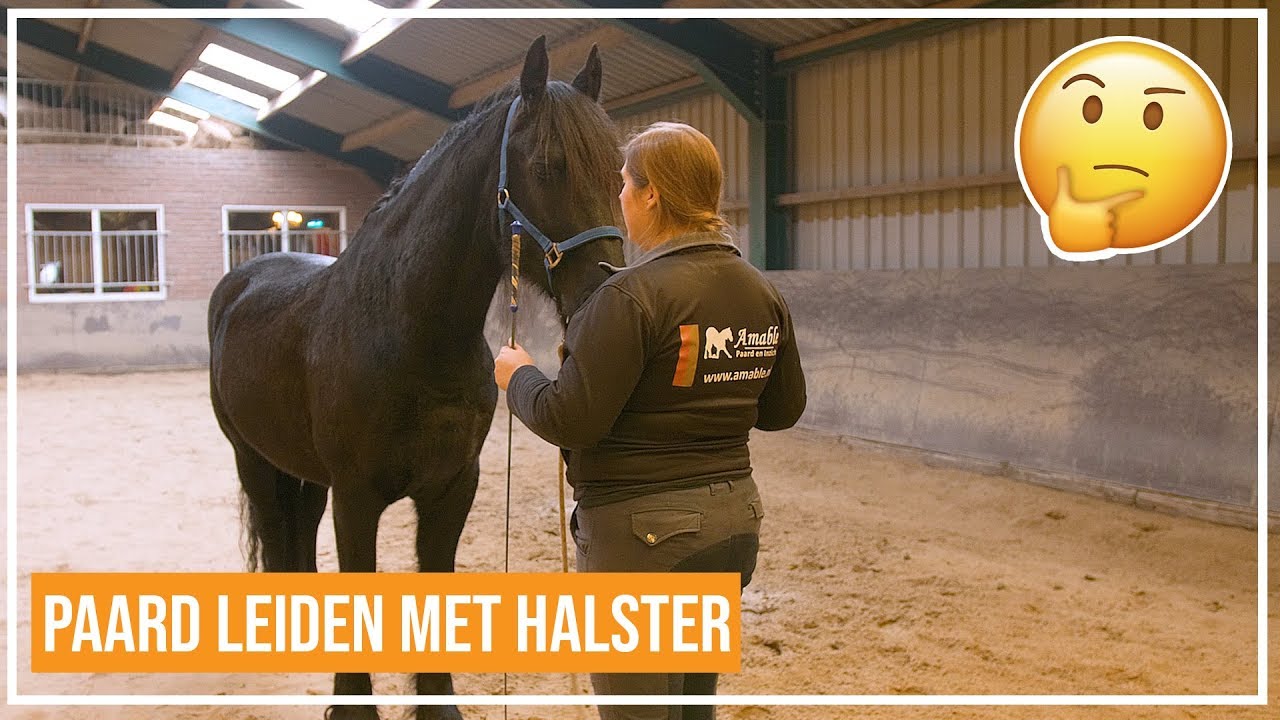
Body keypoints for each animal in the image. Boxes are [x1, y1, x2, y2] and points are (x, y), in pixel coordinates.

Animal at [206, 37, 625, 720]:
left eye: (618, 170)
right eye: (548, 165)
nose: (604, 290)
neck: (411, 338)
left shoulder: (452, 488)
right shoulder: (356, 497)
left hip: (304, 471)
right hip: (252, 458)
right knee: (273, 528)